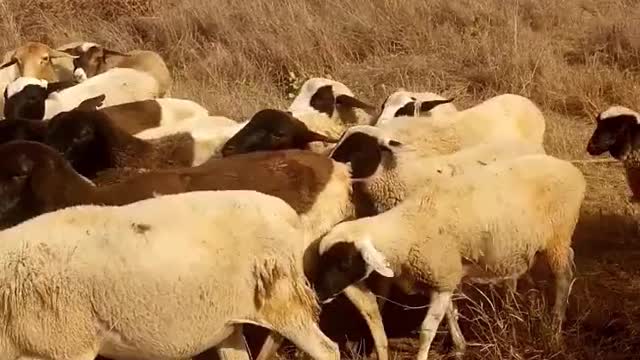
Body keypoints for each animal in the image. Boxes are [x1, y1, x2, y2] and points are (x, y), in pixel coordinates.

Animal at [312, 154, 588, 360]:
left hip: (558, 236)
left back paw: (555, 328)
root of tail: (572, 169)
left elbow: (427, 330)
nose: (319, 294)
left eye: (344, 262)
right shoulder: (446, 276)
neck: (409, 227)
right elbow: (450, 313)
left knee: (564, 279)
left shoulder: (442, 277)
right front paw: (459, 346)